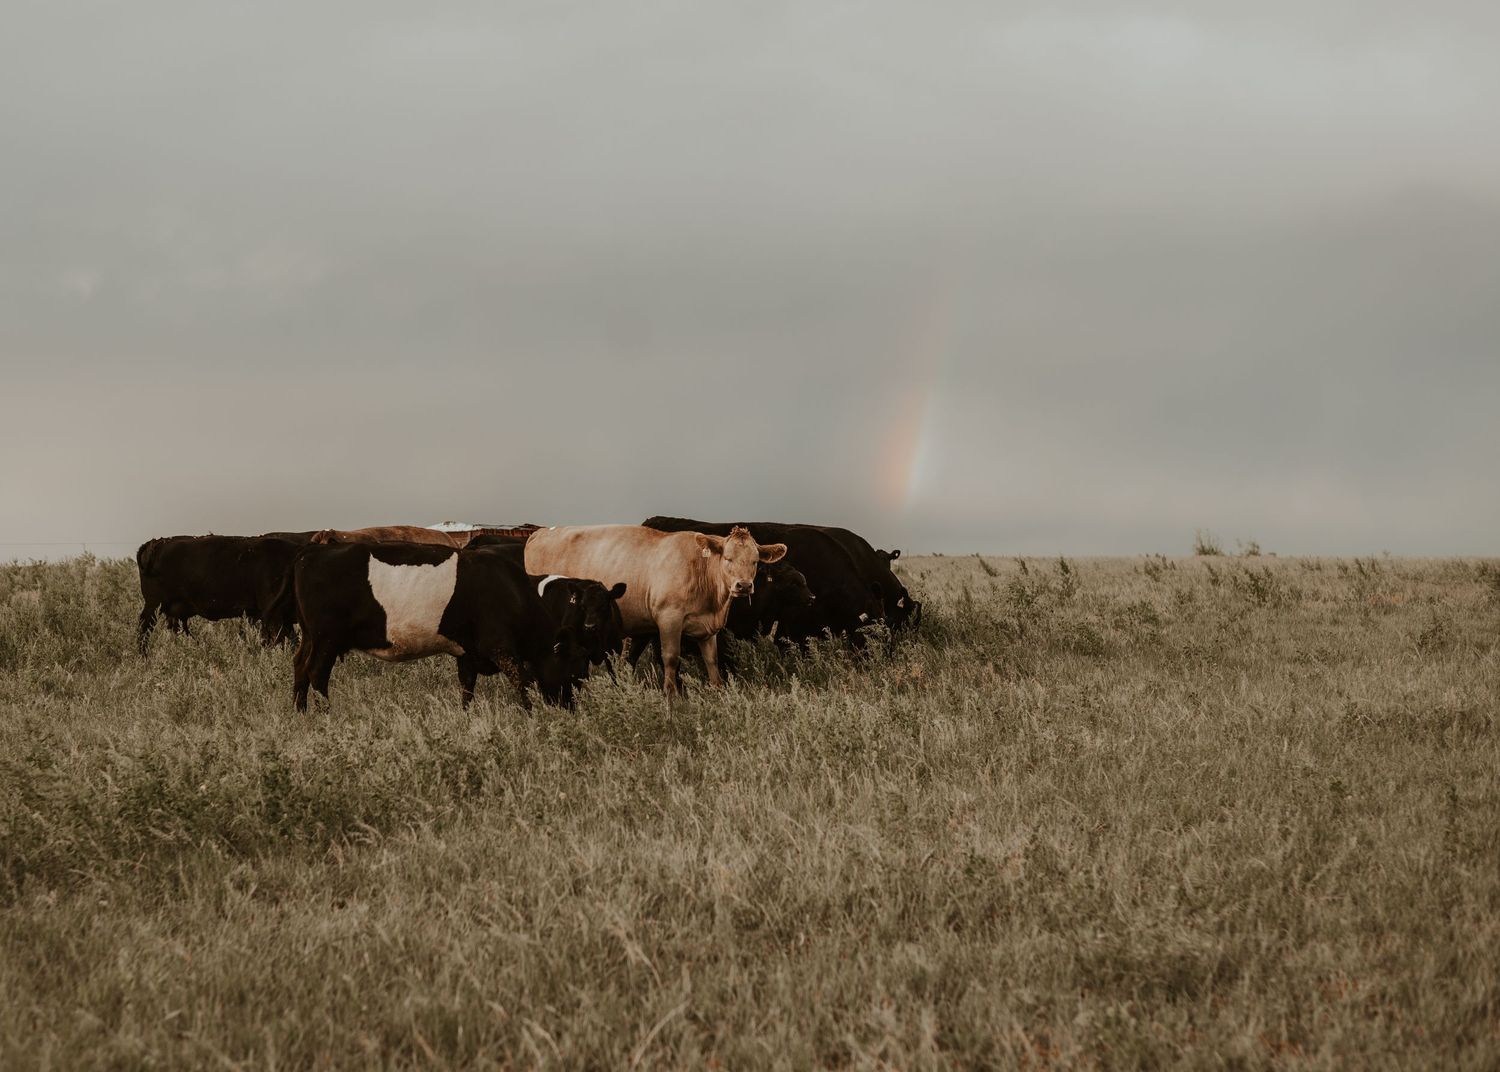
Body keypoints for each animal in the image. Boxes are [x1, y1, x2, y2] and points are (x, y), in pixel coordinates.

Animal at [136, 535, 304, 653]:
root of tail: (157, 543)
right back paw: (144, 657)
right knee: (144, 629)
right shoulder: (274, 616)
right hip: (154, 606)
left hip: (171, 611)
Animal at [288, 541, 625, 711]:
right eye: (576, 669)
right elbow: (521, 681)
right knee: (317, 673)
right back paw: (326, 714)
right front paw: (529, 714)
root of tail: (311, 551)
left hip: (311, 637)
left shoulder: (467, 653)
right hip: (327, 638)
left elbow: (467, 688)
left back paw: (301, 711)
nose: (572, 708)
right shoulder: (500, 647)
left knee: (300, 666)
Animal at [524, 524, 787, 698]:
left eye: (755, 561)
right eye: (728, 558)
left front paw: (718, 691)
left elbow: (712, 660)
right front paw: (670, 695)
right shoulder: (669, 619)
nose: (743, 585)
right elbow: (670, 657)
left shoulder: (707, 628)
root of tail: (540, 532)